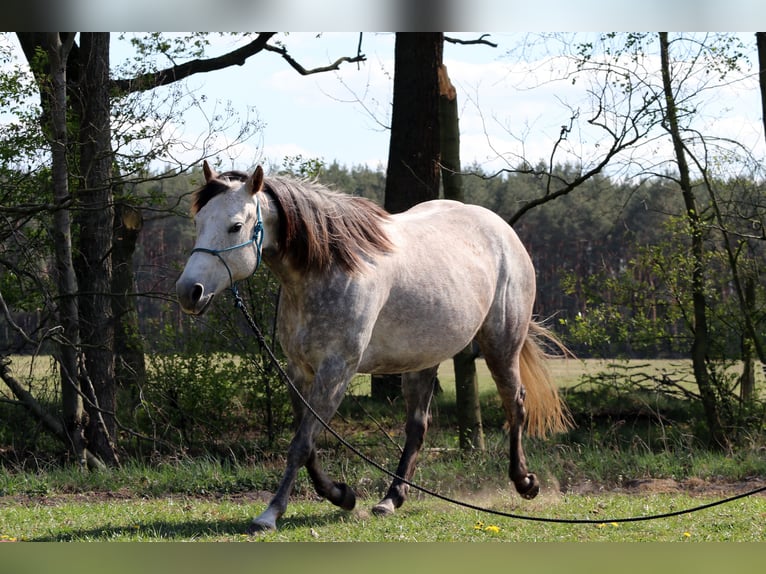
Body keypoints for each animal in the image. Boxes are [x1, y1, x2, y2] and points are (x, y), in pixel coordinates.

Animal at [174, 162, 568, 536]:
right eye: (198, 221)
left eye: (235, 226)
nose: (189, 292)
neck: (330, 268)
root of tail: (504, 232)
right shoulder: (300, 371)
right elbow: (308, 442)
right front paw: (341, 495)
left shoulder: (337, 371)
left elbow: (300, 444)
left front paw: (270, 514)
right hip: (423, 358)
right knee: (417, 427)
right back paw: (391, 498)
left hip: (501, 344)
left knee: (515, 405)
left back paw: (524, 482)